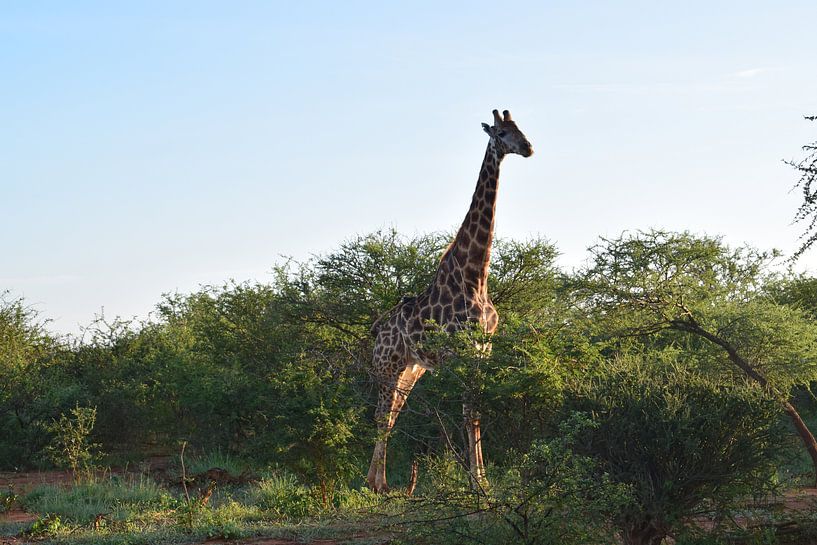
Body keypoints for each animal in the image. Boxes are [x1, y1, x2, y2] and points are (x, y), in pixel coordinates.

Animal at [367, 109, 533, 493]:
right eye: (501, 133)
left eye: (521, 128)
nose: (529, 148)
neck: (476, 276)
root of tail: (378, 328)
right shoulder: (461, 351)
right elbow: (468, 412)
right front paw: (476, 482)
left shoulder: (483, 349)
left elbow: (477, 411)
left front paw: (482, 479)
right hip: (388, 365)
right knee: (382, 415)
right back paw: (377, 484)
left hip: (411, 370)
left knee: (393, 414)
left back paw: (376, 480)